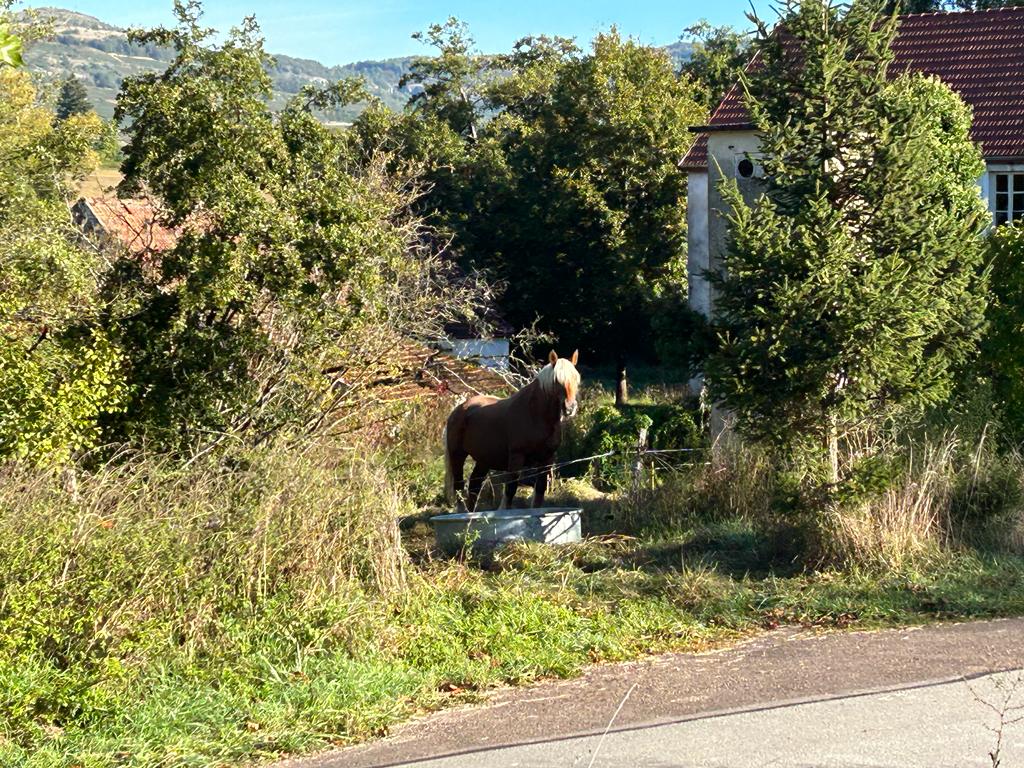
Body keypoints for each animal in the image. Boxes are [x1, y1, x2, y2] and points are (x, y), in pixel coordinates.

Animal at [442, 352, 581, 514]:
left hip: (484, 460)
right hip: (457, 455)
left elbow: (539, 491)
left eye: (576, 379)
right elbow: (510, 489)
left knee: (474, 486)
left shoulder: (547, 459)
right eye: (557, 380)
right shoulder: (516, 458)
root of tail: (459, 409)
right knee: (459, 486)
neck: (535, 415)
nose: (570, 408)